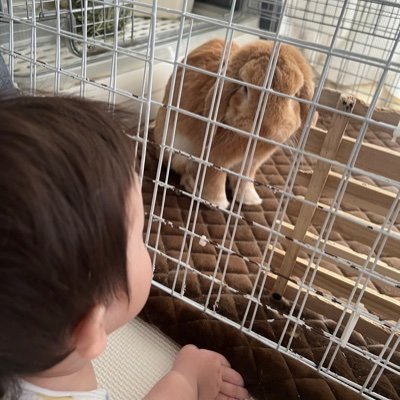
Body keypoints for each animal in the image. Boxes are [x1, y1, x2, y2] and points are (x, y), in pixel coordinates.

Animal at [154, 38, 318, 209]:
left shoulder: (251, 164)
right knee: (183, 170)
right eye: (245, 87)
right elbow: (214, 180)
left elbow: (244, 180)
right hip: (177, 152)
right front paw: (217, 203)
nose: (268, 130)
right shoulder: (214, 159)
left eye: (296, 95)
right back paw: (194, 187)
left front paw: (251, 200)